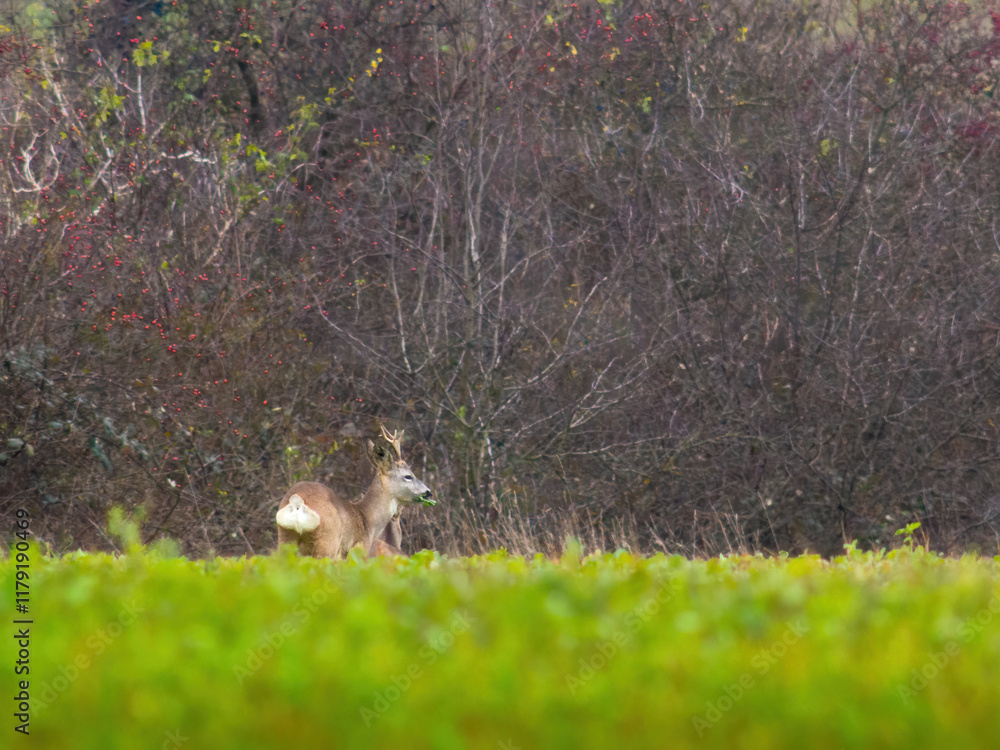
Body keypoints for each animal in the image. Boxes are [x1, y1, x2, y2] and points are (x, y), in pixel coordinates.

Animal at [275, 425, 433, 559]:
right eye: (408, 476)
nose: (428, 492)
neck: (368, 518)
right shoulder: (359, 550)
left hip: (285, 538)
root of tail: (297, 501)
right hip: (327, 542)